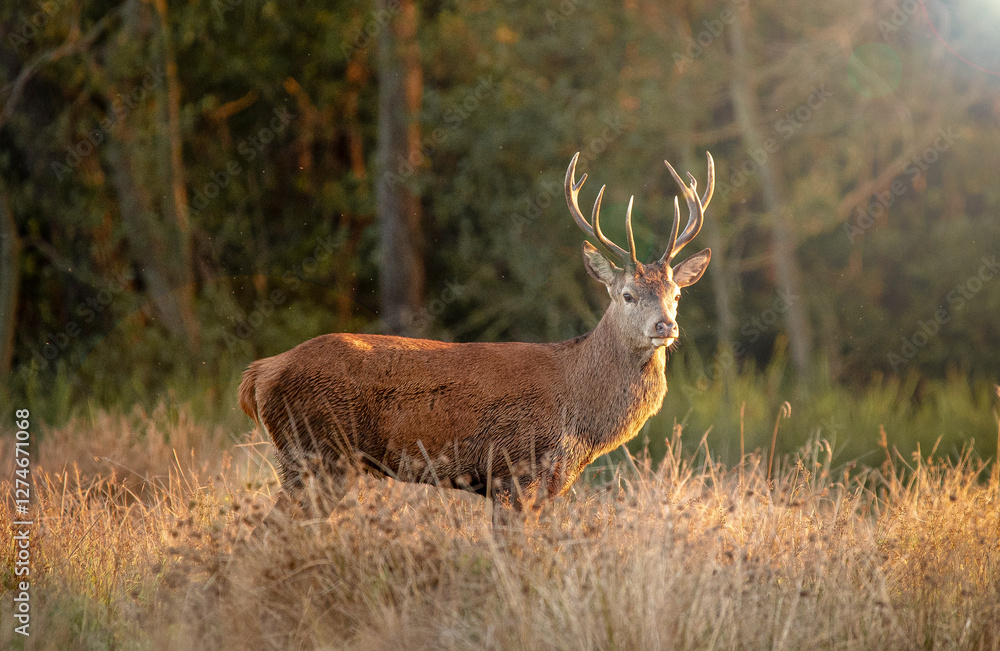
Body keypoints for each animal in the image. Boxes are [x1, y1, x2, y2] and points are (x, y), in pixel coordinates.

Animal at [238, 151, 715, 529]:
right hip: (314, 452)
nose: (665, 327)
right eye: (628, 294)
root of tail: (260, 373)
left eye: (676, 294)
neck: (580, 413)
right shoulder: (515, 470)